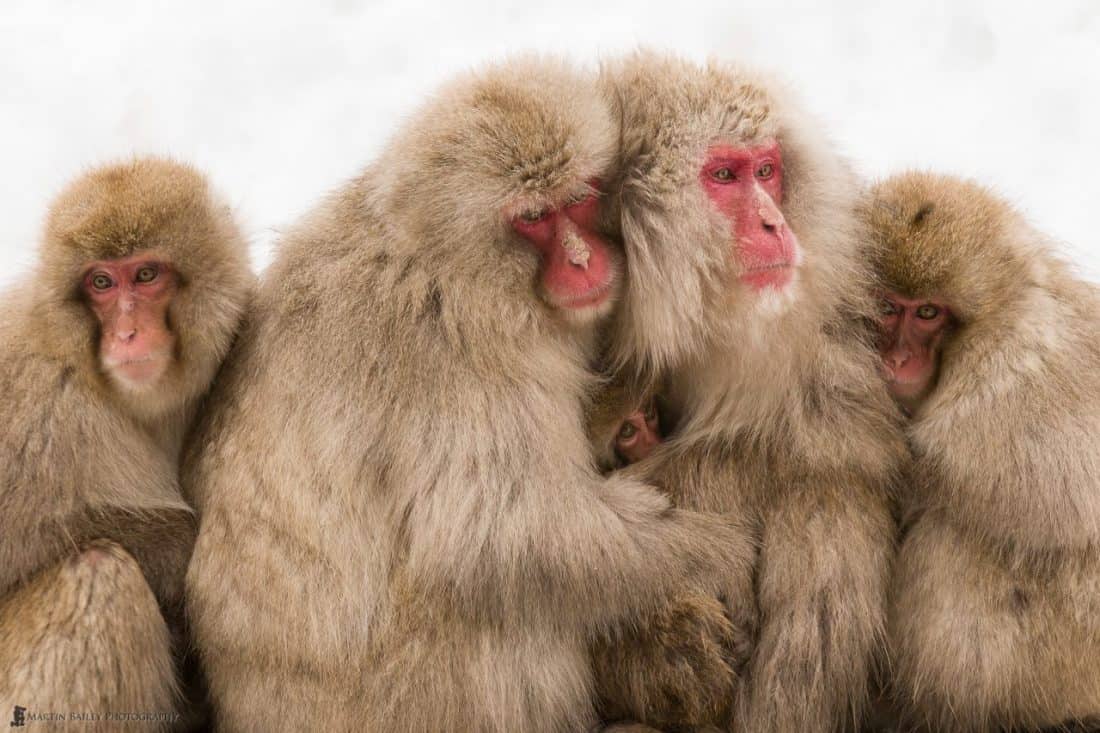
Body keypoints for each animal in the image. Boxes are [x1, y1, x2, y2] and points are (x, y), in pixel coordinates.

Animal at [0, 158, 252, 728]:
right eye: (100, 282)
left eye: (145, 275)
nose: (128, 333)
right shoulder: (30, 396)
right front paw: (177, 548)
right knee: (97, 574)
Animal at [183, 57, 751, 733]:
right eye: (532, 218)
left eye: (580, 199)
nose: (582, 260)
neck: (450, 265)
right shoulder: (455, 357)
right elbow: (507, 529)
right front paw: (718, 550)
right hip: (409, 701)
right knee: (481, 596)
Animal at [865, 172, 1100, 732]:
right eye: (889, 307)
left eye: (928, 312)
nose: (899, 358)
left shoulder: (1013, 365)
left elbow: (1060, 492)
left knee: (955, 534)